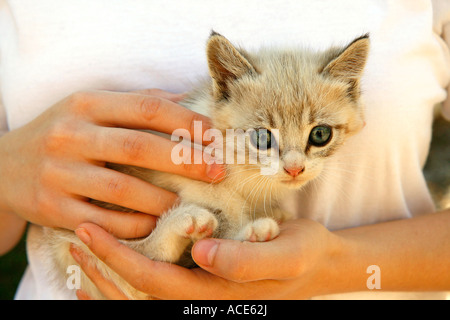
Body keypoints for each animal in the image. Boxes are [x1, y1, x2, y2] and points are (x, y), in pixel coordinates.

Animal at [35, 31, 370, 298]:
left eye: (320, 135)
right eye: (262, 137)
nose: (294, 169)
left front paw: (271, 214)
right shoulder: (184, 161)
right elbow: (226, 201)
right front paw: (244, 232)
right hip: (73, 243)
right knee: (133, 264)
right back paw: (188, 225)